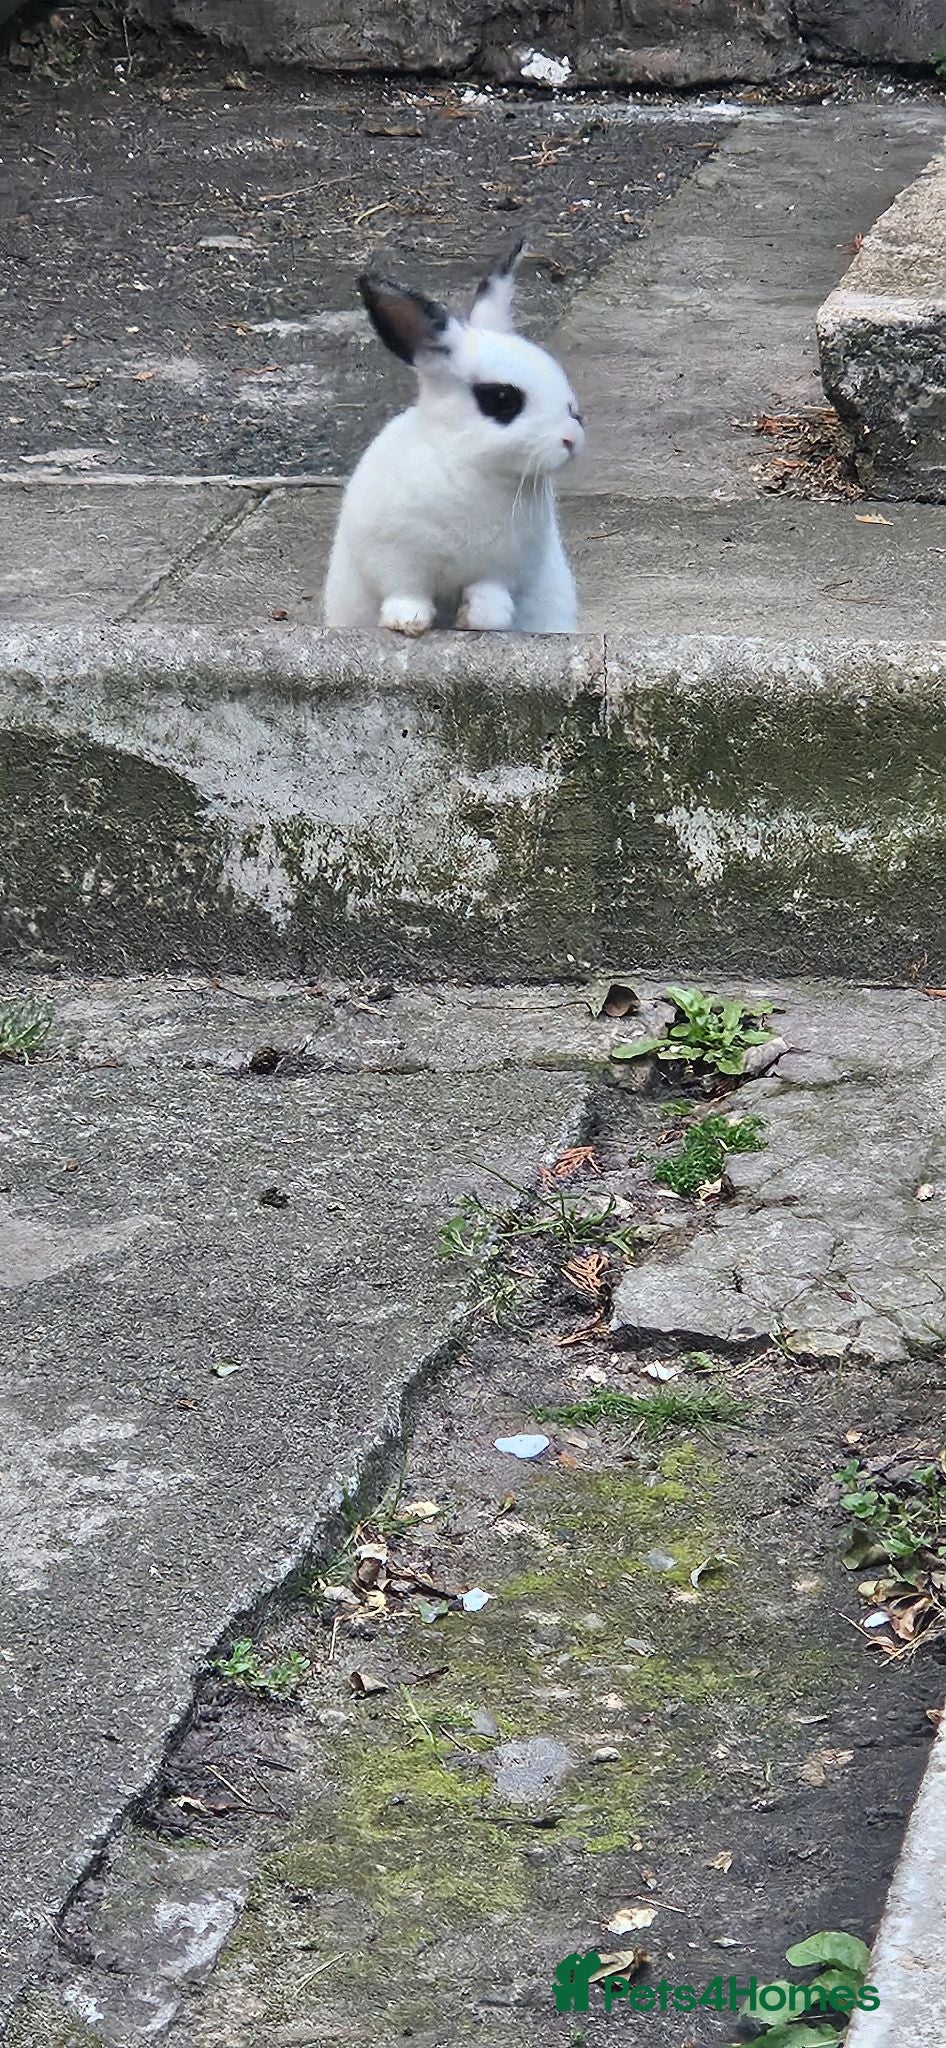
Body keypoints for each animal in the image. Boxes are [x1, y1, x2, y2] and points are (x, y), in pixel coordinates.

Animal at [323, 241, 584, 636]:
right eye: (502, 398)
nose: (572, 438)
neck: (470, 464)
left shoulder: (500, 568)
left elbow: (488, 594)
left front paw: (482, 621)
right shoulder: (396, 557)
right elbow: (406, 591)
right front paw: (407, 622)